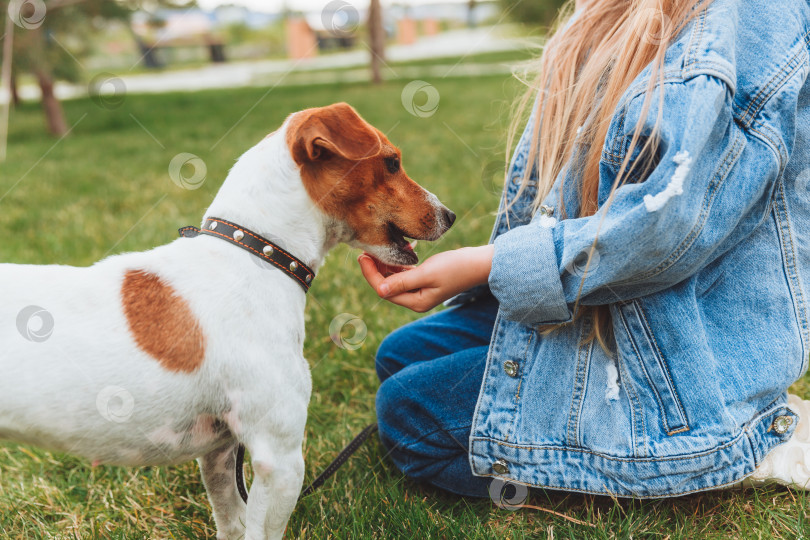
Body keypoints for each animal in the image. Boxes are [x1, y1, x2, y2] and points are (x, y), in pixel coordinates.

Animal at [0, 103, 454, 536]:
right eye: (392, 162)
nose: (449, 215)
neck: (256, 253)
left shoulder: (219, 452)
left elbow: (232, 523)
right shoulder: (280, 459)